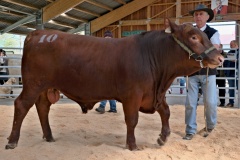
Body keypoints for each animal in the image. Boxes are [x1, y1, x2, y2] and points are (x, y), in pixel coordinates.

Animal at [5, 18, 223, 150]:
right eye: (194, 37)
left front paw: (163, 137)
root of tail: (37, 34)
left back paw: (49, 136)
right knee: (21, 105)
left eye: (205, 36)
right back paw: (12, 142)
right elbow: (132, 120)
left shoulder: (154, 95)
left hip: (46, 87)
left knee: (42, 107)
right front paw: (132, 145)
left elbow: (166, 112)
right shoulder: (132, 96)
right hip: (33, 84)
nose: (219, 57)